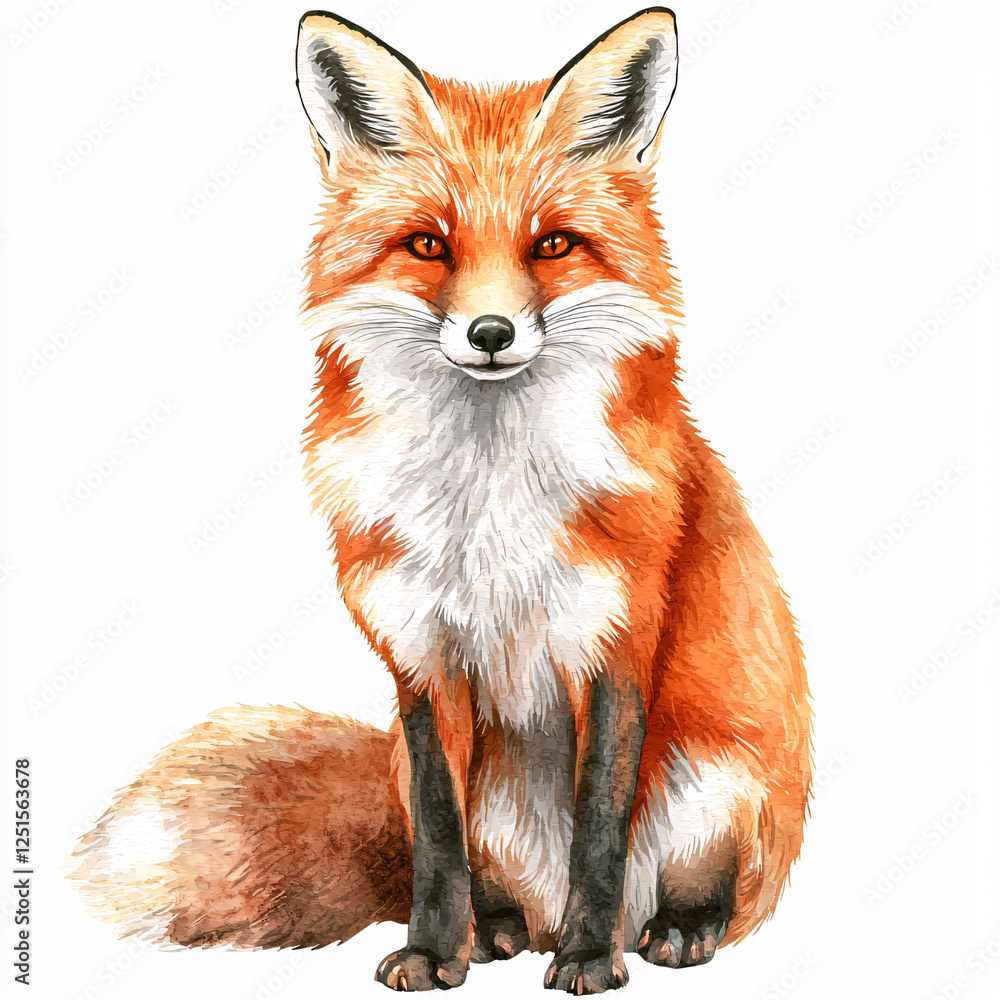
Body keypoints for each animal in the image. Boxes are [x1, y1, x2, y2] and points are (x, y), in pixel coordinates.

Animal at [68, 7, 812, 995]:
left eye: (552, 244)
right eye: (429, 244)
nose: (491, 332)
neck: (486, 502)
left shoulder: (616, 642)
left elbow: (600, 830)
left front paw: (589, 958)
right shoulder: (419, 657)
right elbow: (436, 834)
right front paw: (434, 949)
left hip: (719, 778)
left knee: (705, 893)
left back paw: (671, 930)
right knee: (482, 875)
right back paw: (495, 931)